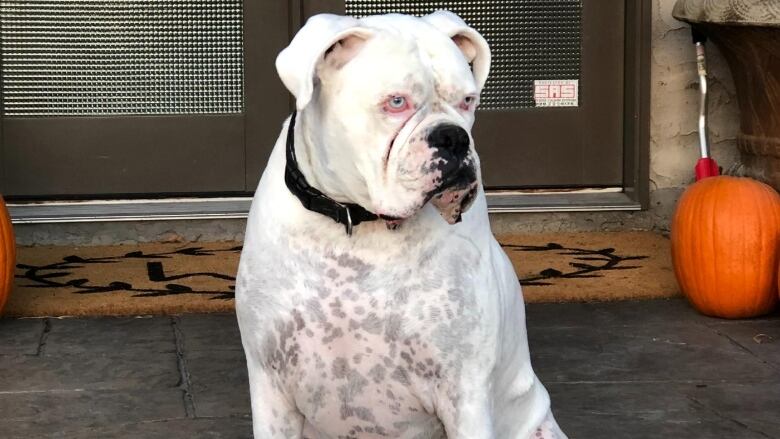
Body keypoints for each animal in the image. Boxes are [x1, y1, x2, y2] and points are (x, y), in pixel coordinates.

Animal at [236, 11, 568, 439]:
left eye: (467, 101)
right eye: (396, 102)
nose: (454, 137)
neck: (356, 226)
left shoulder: (464, 392)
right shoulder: (272, 388)